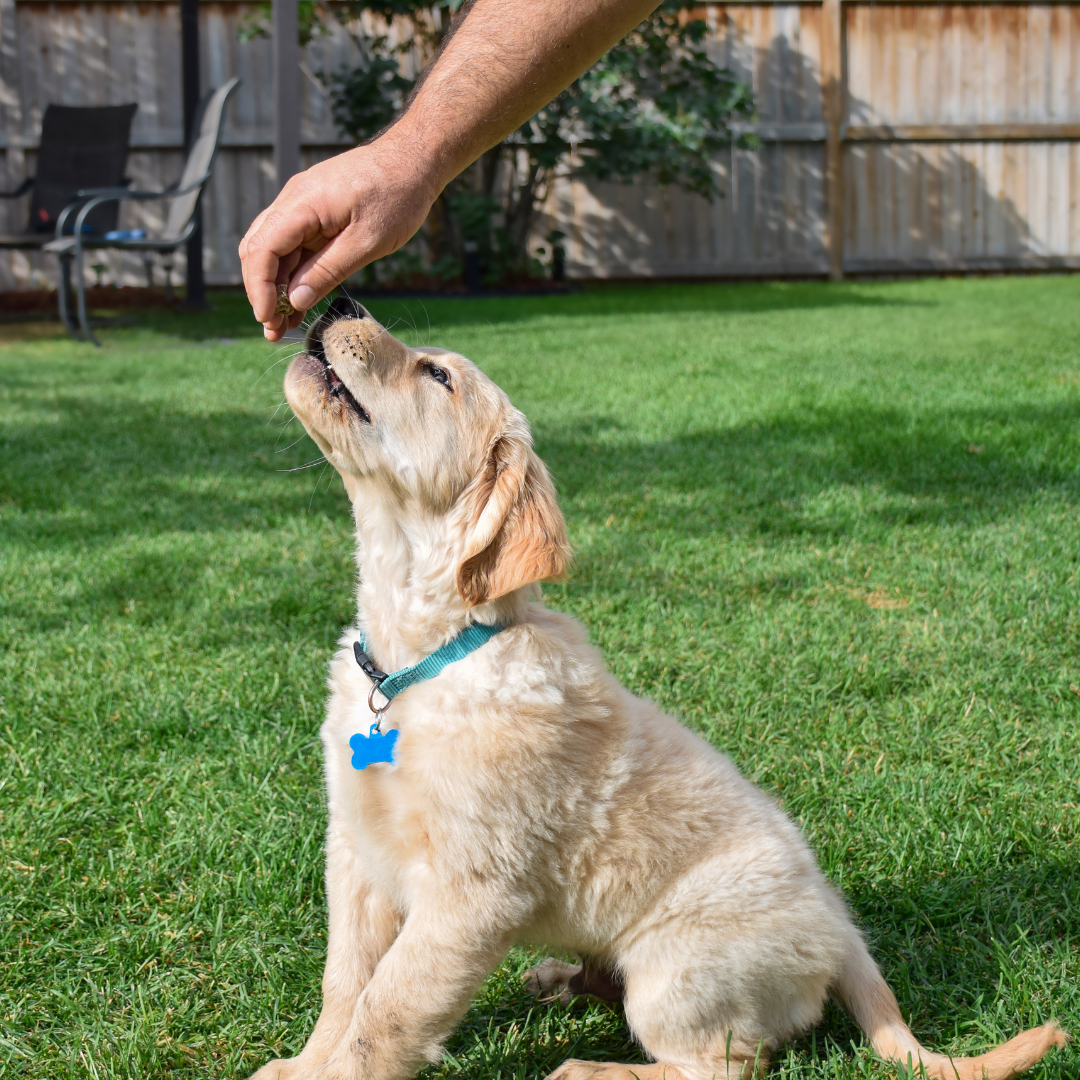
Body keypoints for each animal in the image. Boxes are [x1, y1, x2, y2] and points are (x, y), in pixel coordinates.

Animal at [248, 300, 1067, 1080]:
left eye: (437, 375)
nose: (339, 304)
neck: (419, 660)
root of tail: (844, 936)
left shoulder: (471, 892)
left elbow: (386, 1011)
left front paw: (334, 1073)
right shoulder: (356, 850)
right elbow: (346, 983)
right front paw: (305, 1063)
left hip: (674, 971)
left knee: (729, 1062)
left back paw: (590, 1068)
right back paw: (558, 979)